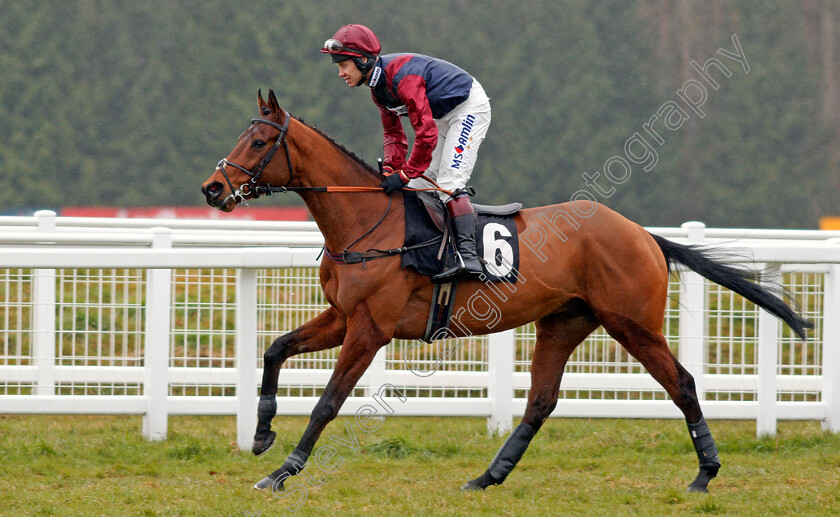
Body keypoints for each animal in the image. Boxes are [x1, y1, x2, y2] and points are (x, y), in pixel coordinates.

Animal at [200, 90, 812, 494]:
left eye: (259, 140)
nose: (212, 188)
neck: (368, 223)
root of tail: (642, 233)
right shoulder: (342, 317)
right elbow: (275, 349)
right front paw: (261, 433)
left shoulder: (370, 330)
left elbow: (328, 401)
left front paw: (282, 472)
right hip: (564, 322)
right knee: (541, 400)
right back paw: (486, 477)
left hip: (633, 323)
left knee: (681, 383)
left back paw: (705, 474)